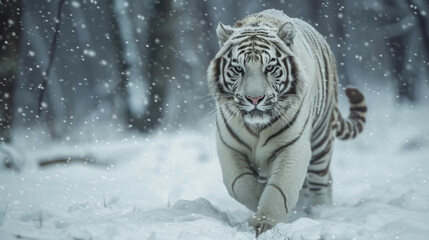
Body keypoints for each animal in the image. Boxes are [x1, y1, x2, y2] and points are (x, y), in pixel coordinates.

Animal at [206, 8, 366, 236]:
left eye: (269, 68)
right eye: (238, 69)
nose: (254, 99)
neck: (257, 127)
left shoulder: (293, 146)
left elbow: (279, 188)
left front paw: (264, 223)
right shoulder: (229, 146)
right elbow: (239, 183)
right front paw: (258, 195)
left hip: (321, 140)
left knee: (321, 180)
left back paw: (317, 211)